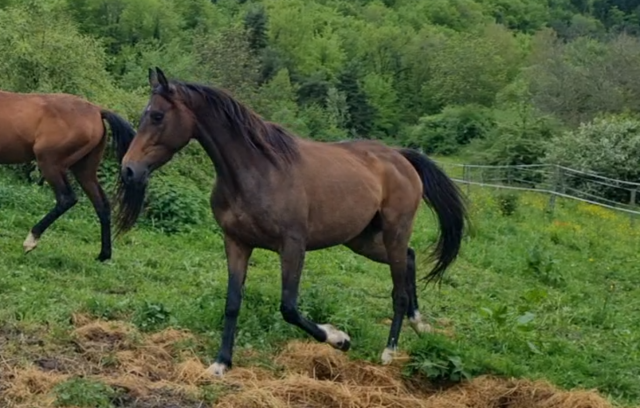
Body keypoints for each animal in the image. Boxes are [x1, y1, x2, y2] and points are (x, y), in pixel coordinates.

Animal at [0, 89, 136, 261]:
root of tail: (97, 111)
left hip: (50, 163)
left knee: (67, 198)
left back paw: (31, 240)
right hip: (84, 171)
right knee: (102, 205)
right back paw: (103, 255)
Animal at [116, 67, 468, 376]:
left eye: (157, 116)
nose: (129, 170)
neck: (257, 172)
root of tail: (399, 156)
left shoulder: (292, 247)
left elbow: (289, 307)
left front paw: (339, 338)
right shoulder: (236, 243)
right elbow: (232, 303)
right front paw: (221, 363)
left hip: (394, 231)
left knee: (399, 289)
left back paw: (390, 351)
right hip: (362, 240)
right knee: (409, 259)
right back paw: (419, 323)